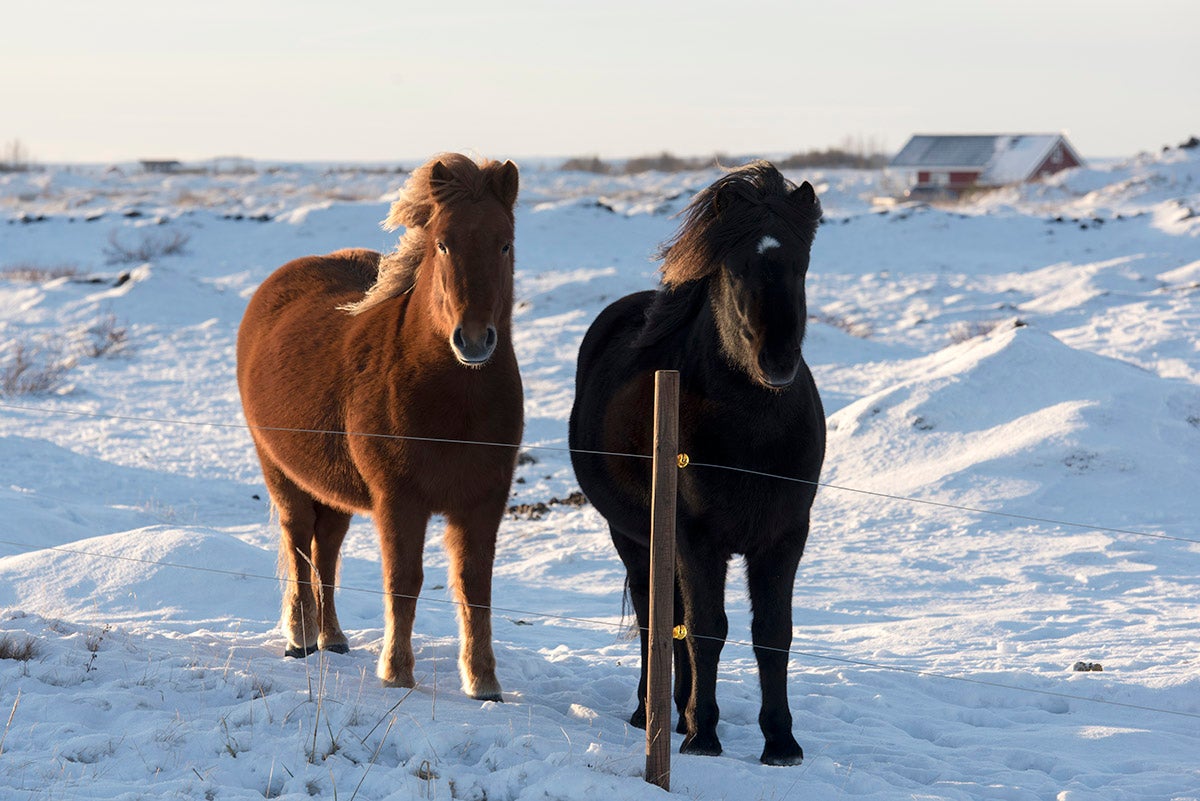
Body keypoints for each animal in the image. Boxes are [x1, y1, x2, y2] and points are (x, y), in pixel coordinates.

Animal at [236, 153, 523, 695]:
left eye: (504, 243)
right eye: (442, 243)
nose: (474, 340)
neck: (454, 403)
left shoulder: (484, 500)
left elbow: (475, 586)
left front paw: (484, 683)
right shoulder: (398, 500)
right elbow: (403, 582)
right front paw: (397, 673)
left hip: (334, 490)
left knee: (325, 552)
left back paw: (332, 638)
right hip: (281, 473)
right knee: (300, 546)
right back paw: (301, 639)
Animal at [566, 160, 820, 762]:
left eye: (800, 267)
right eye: (734, 269)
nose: (778, 362)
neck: (754, 438)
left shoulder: (784, 538)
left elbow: (772, 634)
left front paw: (781, 741)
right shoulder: (696, 539)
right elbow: (706, 629)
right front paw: (704, 735)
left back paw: (675, 713)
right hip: (634, 538)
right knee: (654, 617)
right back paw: (653, 713)